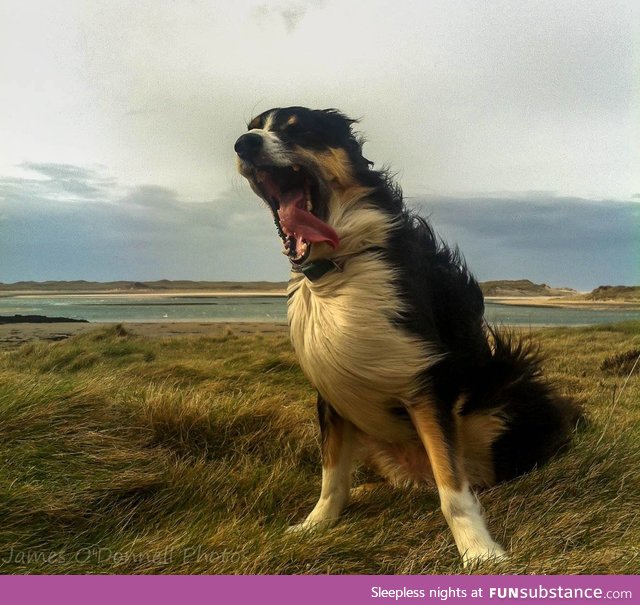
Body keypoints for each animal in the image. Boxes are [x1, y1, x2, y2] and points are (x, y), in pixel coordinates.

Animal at [234, 106, 580, 564]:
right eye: (254, 127)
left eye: (298, 130)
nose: (244, 144)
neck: (341, 265)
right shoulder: (331, 392)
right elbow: (331, 478)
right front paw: (315, 525)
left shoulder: (425, 385)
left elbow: (454, 490)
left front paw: (479, 551)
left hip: (510, 383)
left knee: (487, 475)